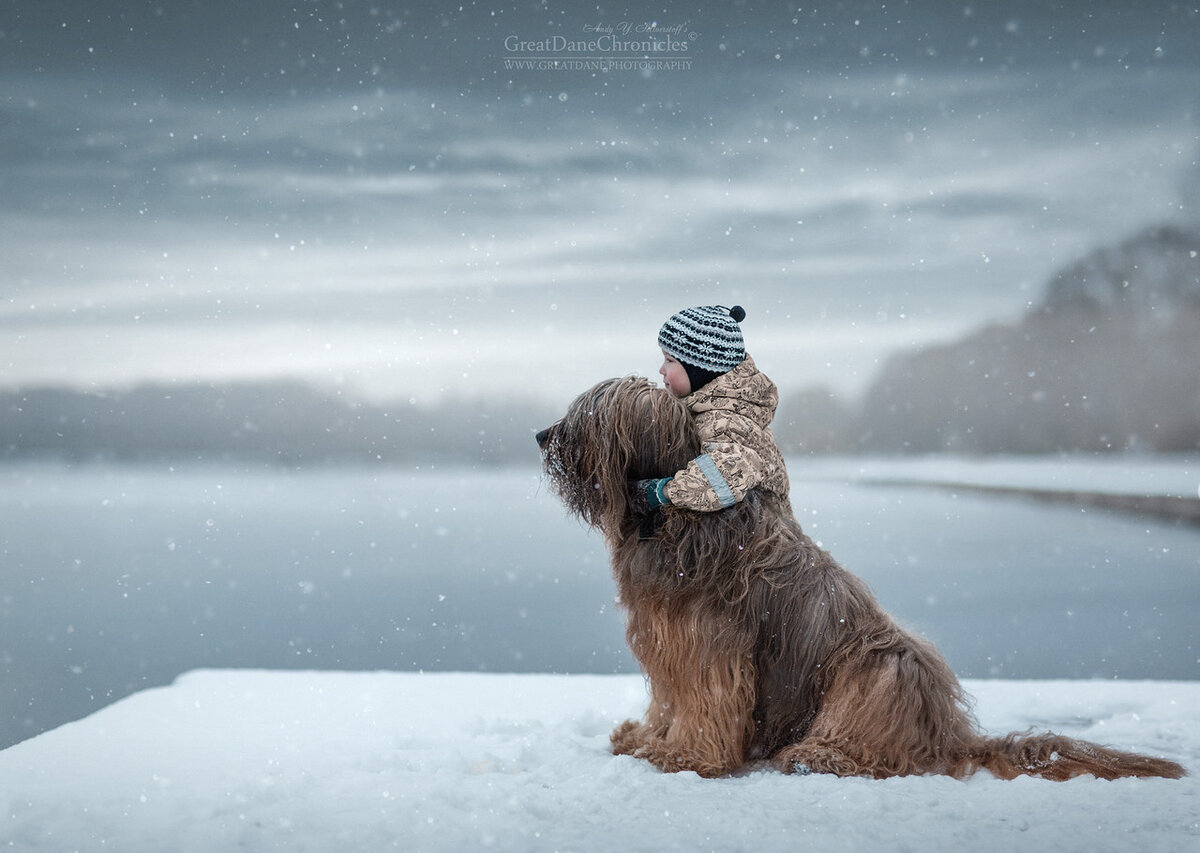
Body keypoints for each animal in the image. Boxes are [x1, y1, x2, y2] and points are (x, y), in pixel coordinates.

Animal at [537, 379, 1190, 782]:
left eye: (591, 415)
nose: (543, 436)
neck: (672, 518)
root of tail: (949, 735)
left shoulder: (708, 645)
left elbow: (705, 702)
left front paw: (684, 756)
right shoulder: (667, 638)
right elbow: (668, 699)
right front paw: (645, 738)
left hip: (880, 664)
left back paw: (817, 754)